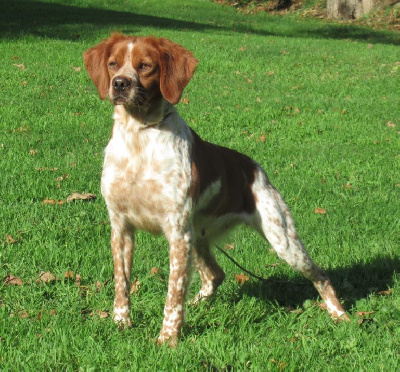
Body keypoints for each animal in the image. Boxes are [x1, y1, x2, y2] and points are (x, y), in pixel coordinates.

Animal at [83, 34, 348, 346]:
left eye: (145, 66)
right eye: (113, 64)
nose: (120, 84)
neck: (139, 136)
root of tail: (255, 168)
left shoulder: (177, 232)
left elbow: (173, 295)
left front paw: (168, 340)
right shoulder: (121, 226)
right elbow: (122, 283)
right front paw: (121, 323)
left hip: (282, 240)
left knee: (321, 275)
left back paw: (340, 315)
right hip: (198, 236)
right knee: (214, 275)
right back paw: (196, 306)